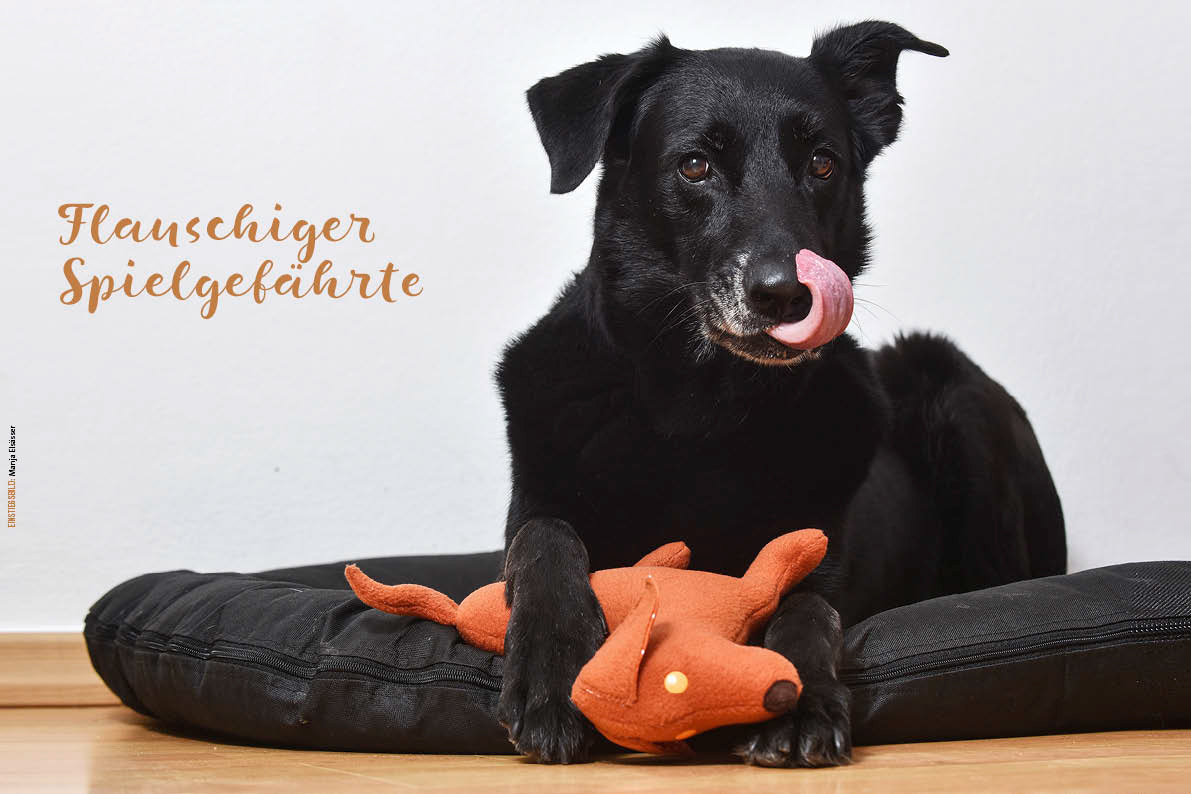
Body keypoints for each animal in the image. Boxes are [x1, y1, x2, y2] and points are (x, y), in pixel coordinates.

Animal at [495, 21, 1066, 767]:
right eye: (694, 165)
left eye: (822, 163)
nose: (785, 295)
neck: (701, 414)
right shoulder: (536, 506)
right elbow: (544, 542)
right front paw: (552, 668)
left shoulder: (818, 560)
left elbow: (805, 608)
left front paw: (798, 699)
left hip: (953, 394)